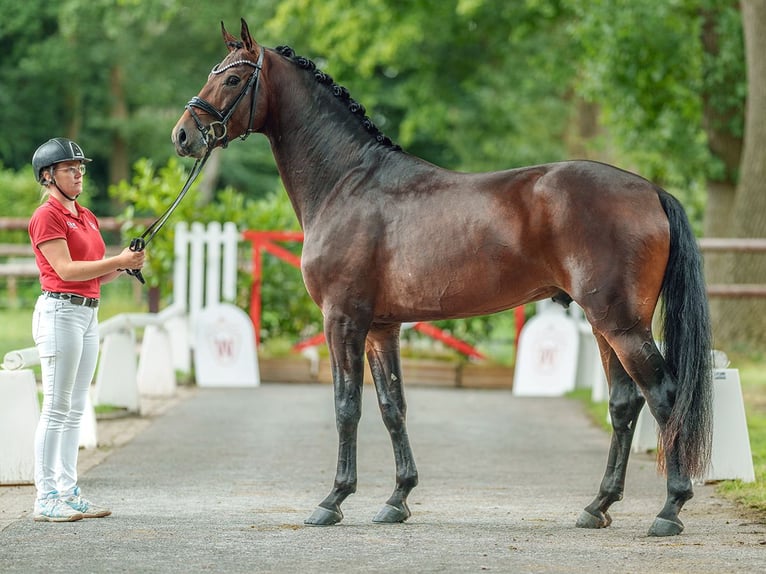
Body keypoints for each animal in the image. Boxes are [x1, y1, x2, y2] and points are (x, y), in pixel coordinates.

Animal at [172, 19, 712, 540]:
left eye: (233, 79)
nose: (182, 136)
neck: (347, 182)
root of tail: (651, 191)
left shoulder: (341, 321)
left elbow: (347, 405)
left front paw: (333, 500)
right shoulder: (381, 328)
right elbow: (392, 406)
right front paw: (397, 499)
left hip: (622, 325)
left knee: (664, 397)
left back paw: (669, 509)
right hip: (606, 326)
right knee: (624, 404)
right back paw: (598, 506)